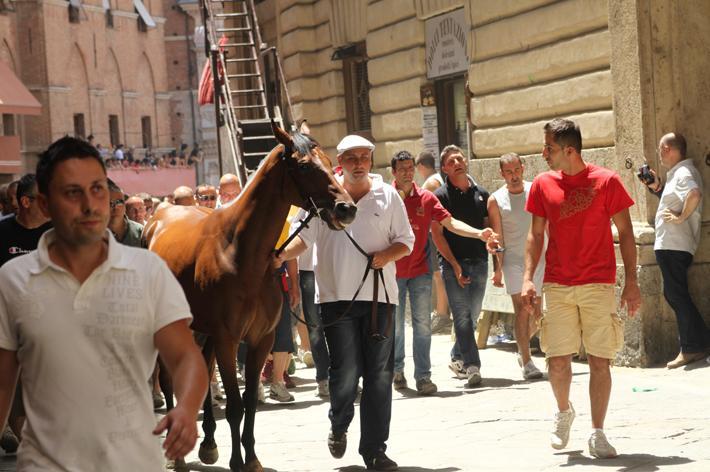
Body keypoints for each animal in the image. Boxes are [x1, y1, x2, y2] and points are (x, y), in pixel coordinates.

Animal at [144, 124, 356, 472]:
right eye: (303, 166)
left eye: (328, 160)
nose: (347, 208)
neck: (241, 253)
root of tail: (159, 214)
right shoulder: (229, 340)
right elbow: (235, 404)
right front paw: (237, 461)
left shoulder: (261, 339)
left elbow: (249, 402)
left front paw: (252, 458)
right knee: (167, 379)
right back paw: (177, 457)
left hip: (203, 331)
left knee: (202, 372)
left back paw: (208, 444)